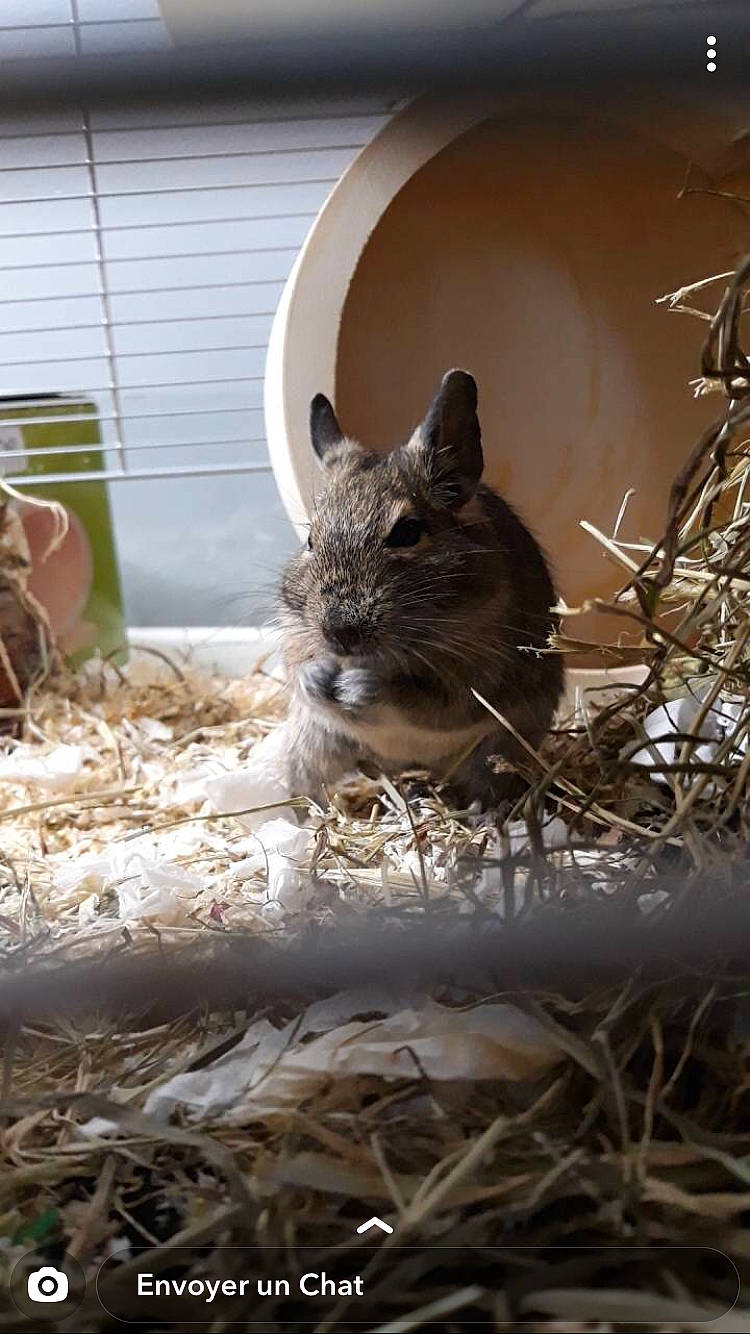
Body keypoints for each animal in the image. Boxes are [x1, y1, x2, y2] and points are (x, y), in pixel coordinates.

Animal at [279, 369, 563, 806]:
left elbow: (417, 697)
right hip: (310, 745)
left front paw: (358, 684)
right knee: (306, 791)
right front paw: (319, 677)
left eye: (408, 533)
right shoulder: (294, 636)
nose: (339, 634)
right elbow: (301, 672)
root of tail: (407, 766)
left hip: (497, 754)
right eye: (310, 539)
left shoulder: (470, 681)